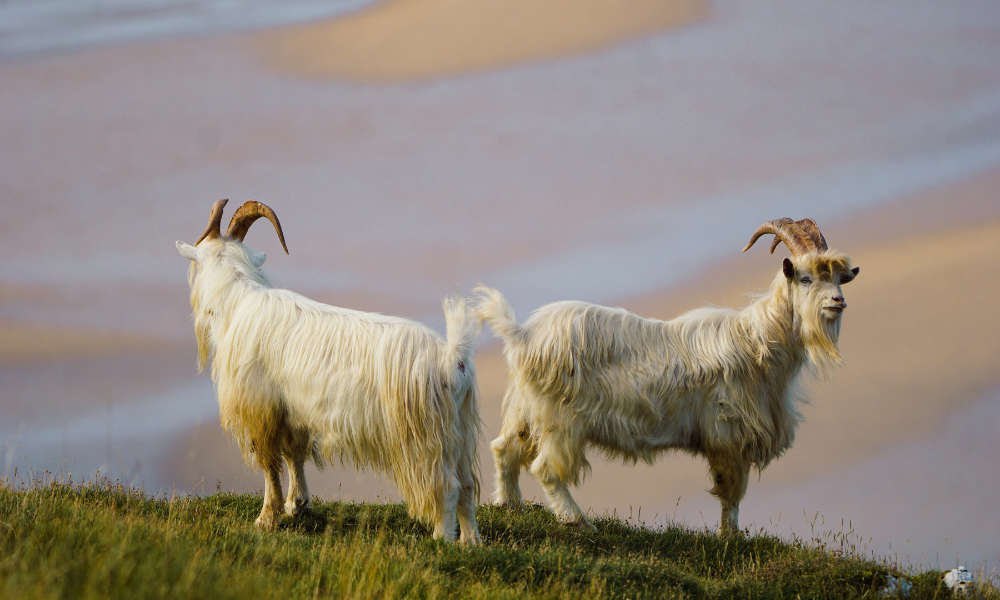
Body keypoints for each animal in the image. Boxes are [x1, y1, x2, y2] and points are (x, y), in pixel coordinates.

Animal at [176, 199, 481, 544]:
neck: (237, 303)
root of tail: (453, 358)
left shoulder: (260, 407)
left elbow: (269, 465)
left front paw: (266, 518)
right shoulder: (291, 411)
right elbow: (294, 454)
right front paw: (297, 505)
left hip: (425, 437)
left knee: (446, 486)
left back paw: (442, 539)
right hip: (459, 431)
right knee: (467, 485)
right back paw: (470, 542)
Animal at [474, 218, 859, 533]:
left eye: (839, 279)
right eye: (805, 278)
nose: (838, 302)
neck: (758, 340)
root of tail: (522, 334)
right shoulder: (727, 433)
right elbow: (732, 492)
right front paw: (730, 538)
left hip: (526, 408)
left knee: (504, 448)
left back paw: (510, 505)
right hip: (561, 419)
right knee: (546, 469)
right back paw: (578, 521)